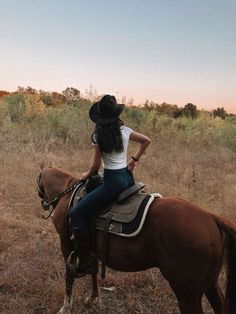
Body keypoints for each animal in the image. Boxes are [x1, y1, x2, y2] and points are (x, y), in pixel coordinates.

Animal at [36, 166, 236, 312]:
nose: (43, 203)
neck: (67, 193)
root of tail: (211, 218)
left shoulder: (67, 244)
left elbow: (70, 273)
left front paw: (66, 307)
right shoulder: (89, 248)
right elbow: (92, 269)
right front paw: (93, 298)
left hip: (187, 292)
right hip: (210, 284)